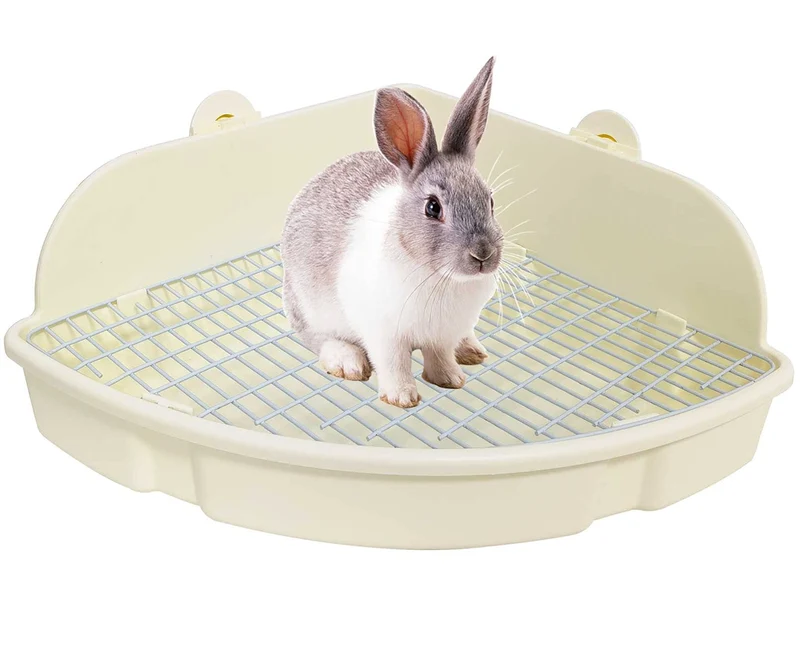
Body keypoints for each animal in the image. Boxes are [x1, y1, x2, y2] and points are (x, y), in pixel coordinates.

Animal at [281, 57, 502, 408]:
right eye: (432, 208)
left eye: (491, 201)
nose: (483, 255)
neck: (440, 277)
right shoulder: (384, 334)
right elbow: (394, 363)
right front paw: (402, 398)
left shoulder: (441, 335)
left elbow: (439, 356)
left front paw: (451, 379)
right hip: (309, 308)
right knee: (318, 339)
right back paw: (347, 362)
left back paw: (471, 350)